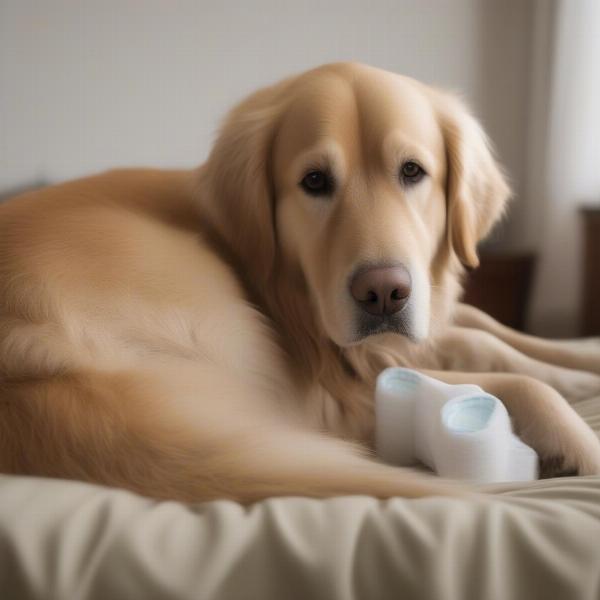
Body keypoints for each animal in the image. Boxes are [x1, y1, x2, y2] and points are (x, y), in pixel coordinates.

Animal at [1, 62, 600, 502]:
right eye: (314, 181)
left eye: (412, 171)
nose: (384, 293)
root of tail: (26, 353)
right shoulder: (337, 392)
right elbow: (516, 378)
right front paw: (579, 439)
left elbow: (489, 332)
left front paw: (580, 365)